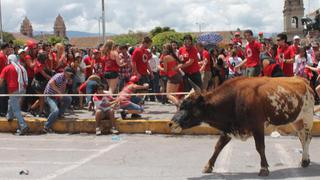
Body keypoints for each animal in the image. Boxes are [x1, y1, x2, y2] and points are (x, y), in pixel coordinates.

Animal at [171, 76, 314, 176]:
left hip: (307, 117)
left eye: (189, 106)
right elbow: (218, 146)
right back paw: (304, 160)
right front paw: (208, 166)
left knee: (307, 138)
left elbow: (260, 147)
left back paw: (305, 160)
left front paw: (264, 168)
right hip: (296, 120)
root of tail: (302, 80)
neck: (235, 99)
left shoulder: (258, 126)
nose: (171, 123)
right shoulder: (228, 129)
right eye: (181, 105)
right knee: (302, 137)